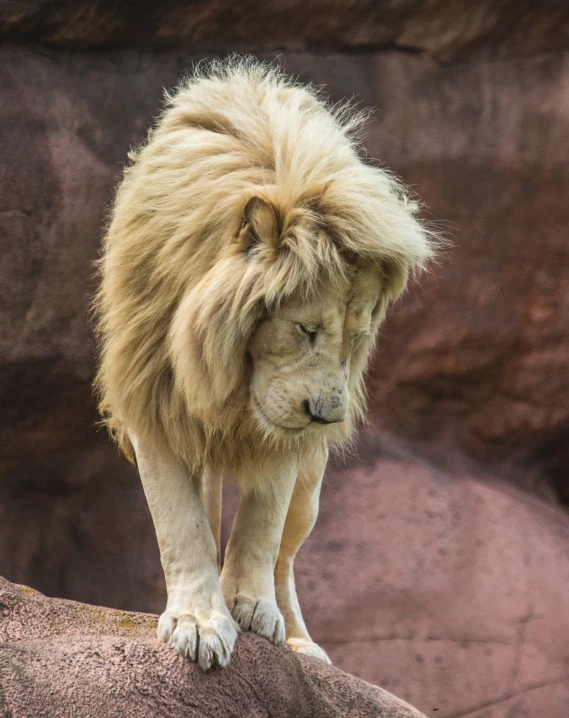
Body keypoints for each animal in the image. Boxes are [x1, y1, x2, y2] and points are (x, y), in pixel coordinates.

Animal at [93, 59, 432, 672]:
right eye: (306, 330)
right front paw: (199, 620)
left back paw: (301, 643)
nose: (326, 417)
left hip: (312, 491)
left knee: (287, 558)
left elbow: (262, 526)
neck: (223, 369)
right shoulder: (151, 393)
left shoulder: (284, 439)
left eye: (356, 340)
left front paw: (251, 607)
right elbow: (181, 524)